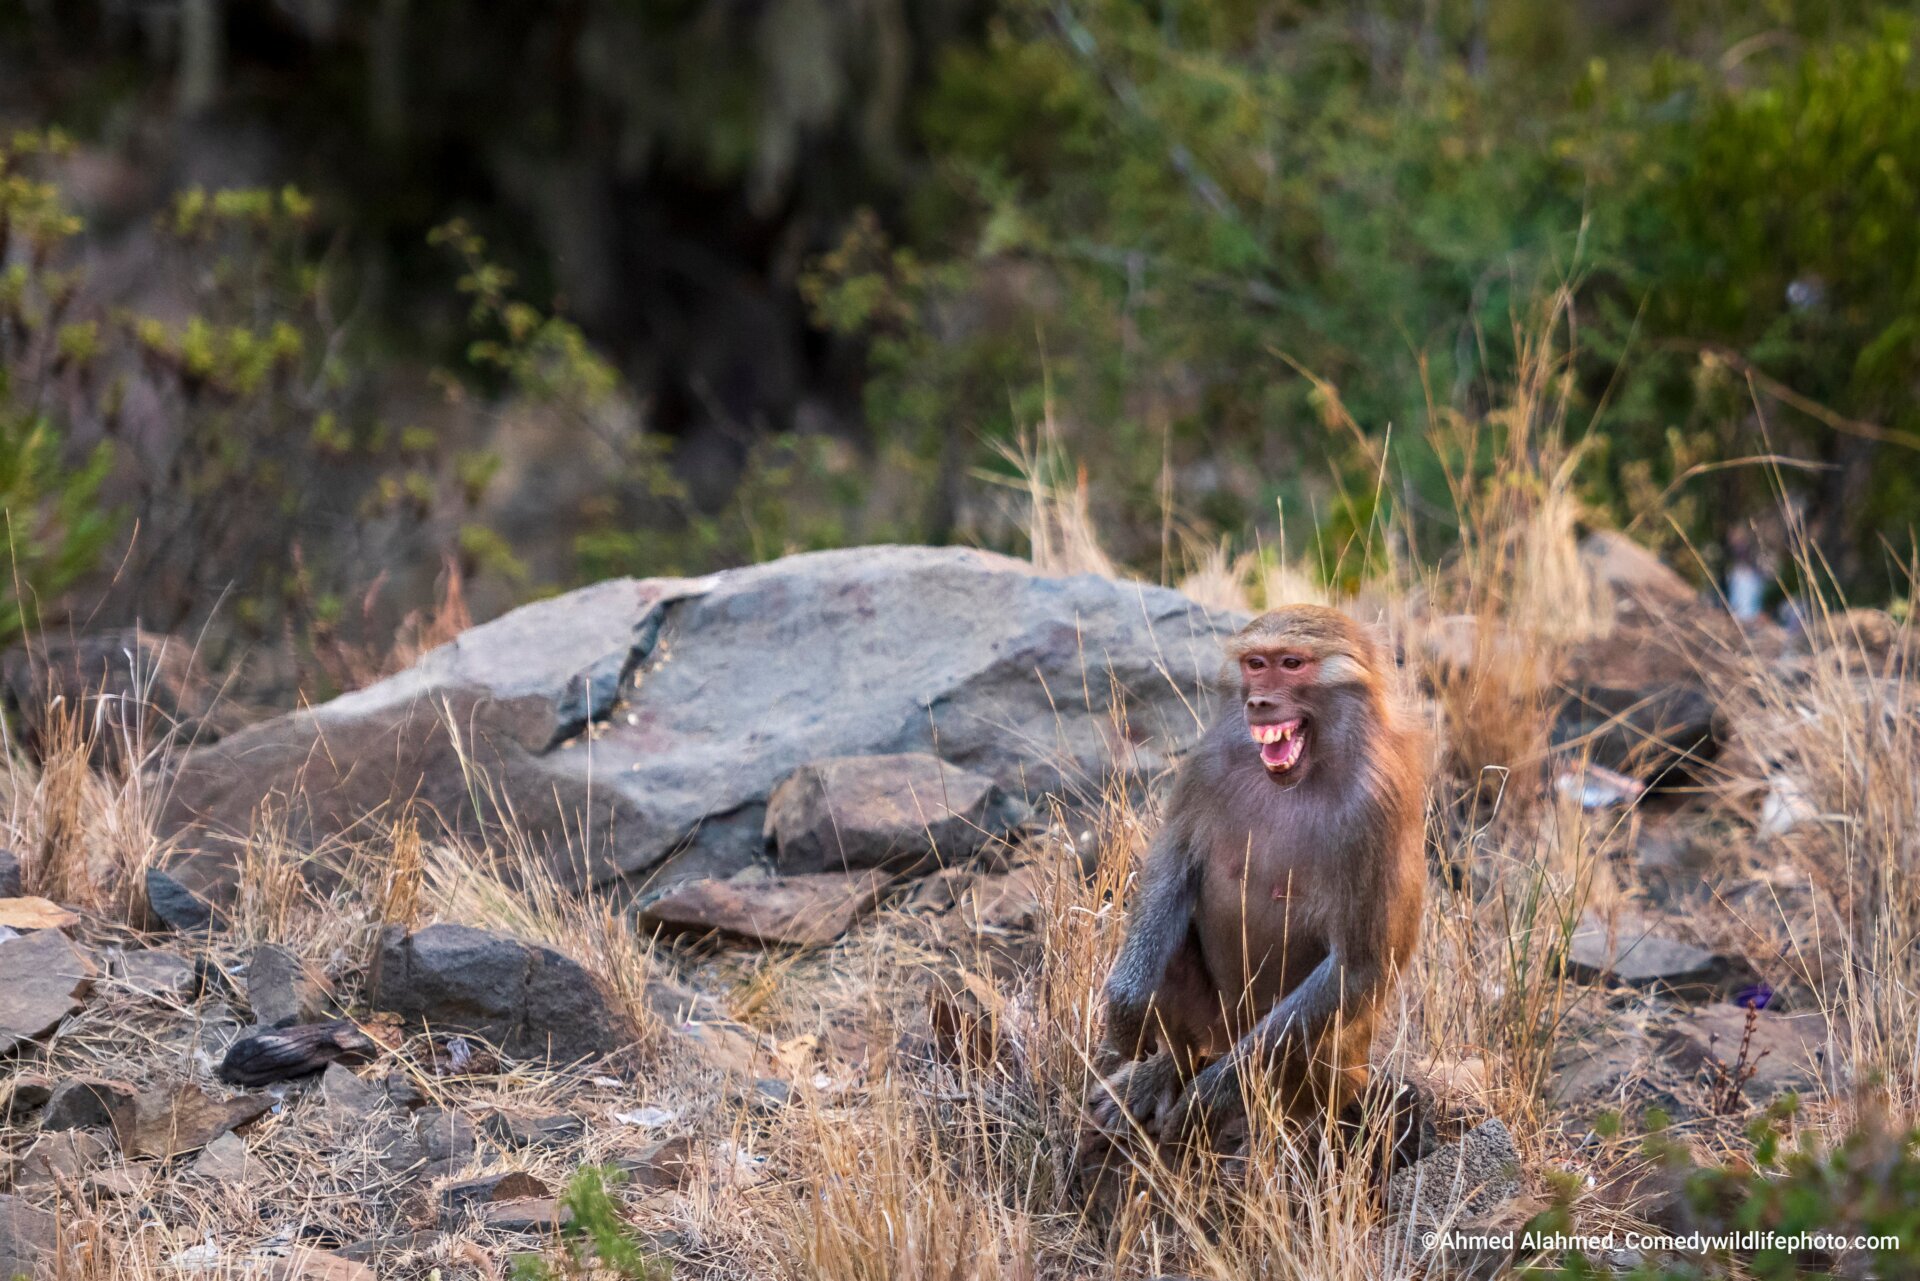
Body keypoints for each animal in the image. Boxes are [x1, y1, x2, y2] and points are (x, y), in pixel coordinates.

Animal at [1089, 604, 1426, 1146]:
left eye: (1291, 664)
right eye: (1255, 664)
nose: (1260, 702)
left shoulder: (1377, 806)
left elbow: (1358, 966)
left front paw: (1205, 1101)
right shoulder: (1205, 768)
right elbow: (1171, 873)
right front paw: (1125, 1011)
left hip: (1338, 1067)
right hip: (1217, 1023)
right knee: (1171, 948)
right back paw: (1165, 1071)